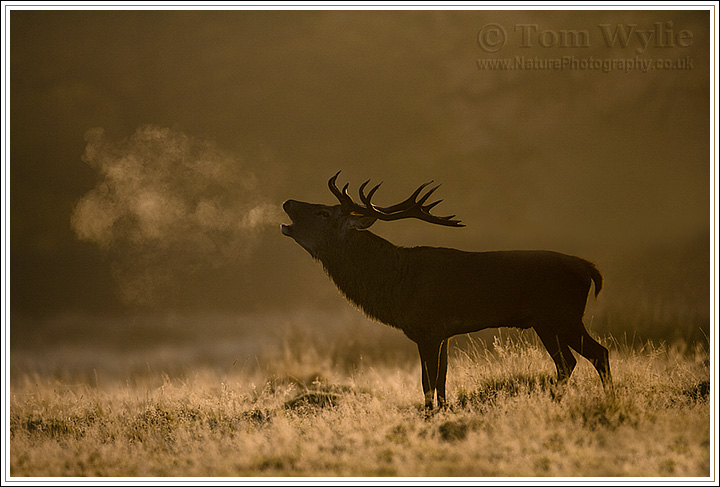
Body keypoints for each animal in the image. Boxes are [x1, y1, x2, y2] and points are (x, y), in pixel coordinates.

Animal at [281, 172, 613, 410]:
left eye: (323, 213)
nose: (288, 203)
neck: (393, 286)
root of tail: (589, 269)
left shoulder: (427, 328)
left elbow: (427, 384)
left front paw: (429, 417)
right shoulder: (444, 333)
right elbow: (441, 381)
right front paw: (443, 413)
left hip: (564, 315)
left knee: (599, 353)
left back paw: (609, 399)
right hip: (544, 323)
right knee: (566, 363)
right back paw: (556, 401)